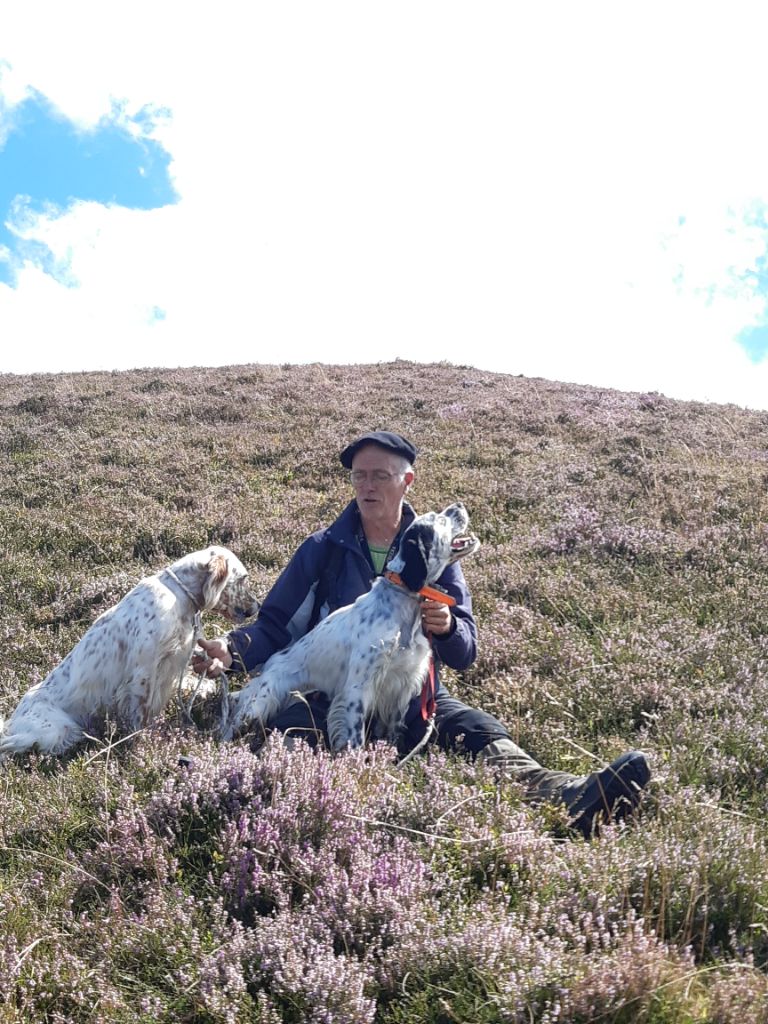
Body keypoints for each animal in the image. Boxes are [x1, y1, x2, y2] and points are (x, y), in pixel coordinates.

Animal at [0, 544, 260, 761]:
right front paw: (143, 746)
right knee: (9, 744)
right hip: (56, 729)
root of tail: (15, 717)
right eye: (243, 579)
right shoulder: (144, 672)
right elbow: (141, 718)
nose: (257, 607)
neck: (177, 596)